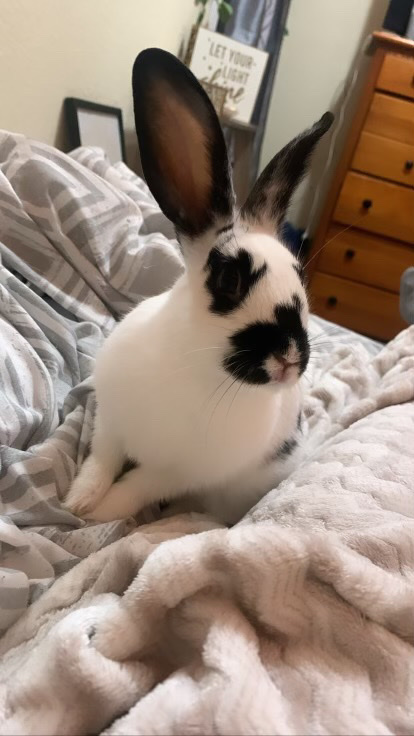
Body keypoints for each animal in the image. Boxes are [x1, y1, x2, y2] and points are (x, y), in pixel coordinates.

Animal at [64, 48, 333, 526]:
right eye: (229, 279)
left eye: (300, 276)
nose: (290, 358)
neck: (192, 364)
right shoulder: (111, 424)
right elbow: (101, 461)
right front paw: (78, 500)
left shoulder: (176, 473)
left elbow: (132, 489)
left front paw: (99, 516)